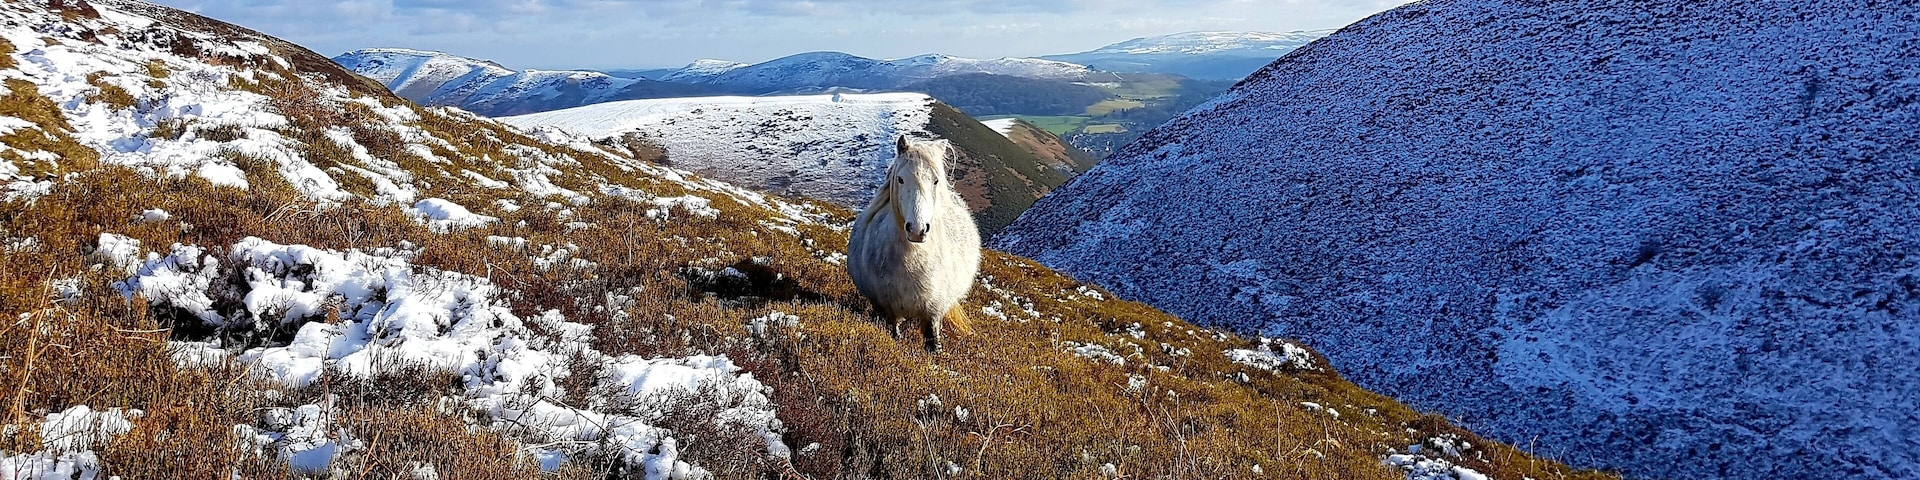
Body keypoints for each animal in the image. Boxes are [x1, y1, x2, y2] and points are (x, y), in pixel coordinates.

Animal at [847, 135, 982, 352]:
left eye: (936, 180)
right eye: (901, 179)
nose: (917, 230)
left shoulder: (933, 309)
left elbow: (932, 339)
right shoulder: (888, 307)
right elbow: (895, 332)